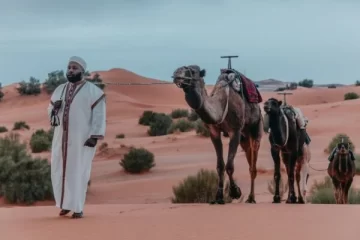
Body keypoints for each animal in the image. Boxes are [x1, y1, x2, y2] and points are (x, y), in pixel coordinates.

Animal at [172, 65, 262, 204]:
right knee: (248, 154)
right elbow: (220, 166)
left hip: (256, 126)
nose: (176, 74)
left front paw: (235, 192)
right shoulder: (214, 132)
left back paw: (251, 198)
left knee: (253, 163)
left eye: (192, 71)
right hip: (244, 137)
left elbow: (229, 166)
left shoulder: (235, 131)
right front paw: (218, 197)